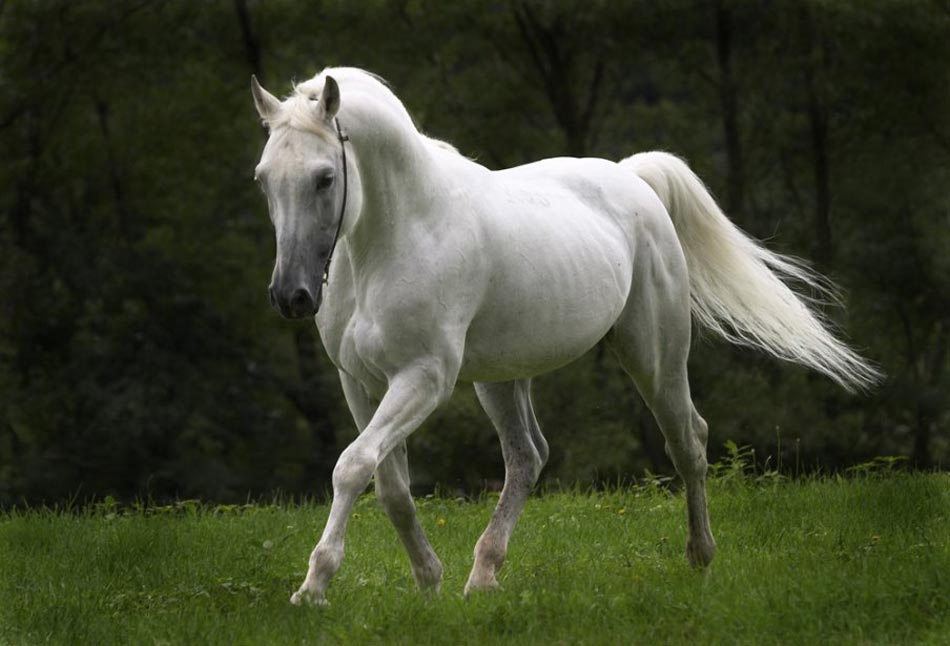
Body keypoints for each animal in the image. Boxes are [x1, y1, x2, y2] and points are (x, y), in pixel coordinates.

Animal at [251, 68, 876, 604]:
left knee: (687, 442)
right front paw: (428, 580)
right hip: (501, 378)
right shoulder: (359, 383)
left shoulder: (424, 378)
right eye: (263, 180)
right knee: (528, 457)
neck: (398, 235)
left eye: (325, 177)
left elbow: (352, 466)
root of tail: (633, 178)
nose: (290, 296)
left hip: (653, 356)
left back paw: (700, 558)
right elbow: (388, 485)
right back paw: (482, 578)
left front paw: (314, 587)